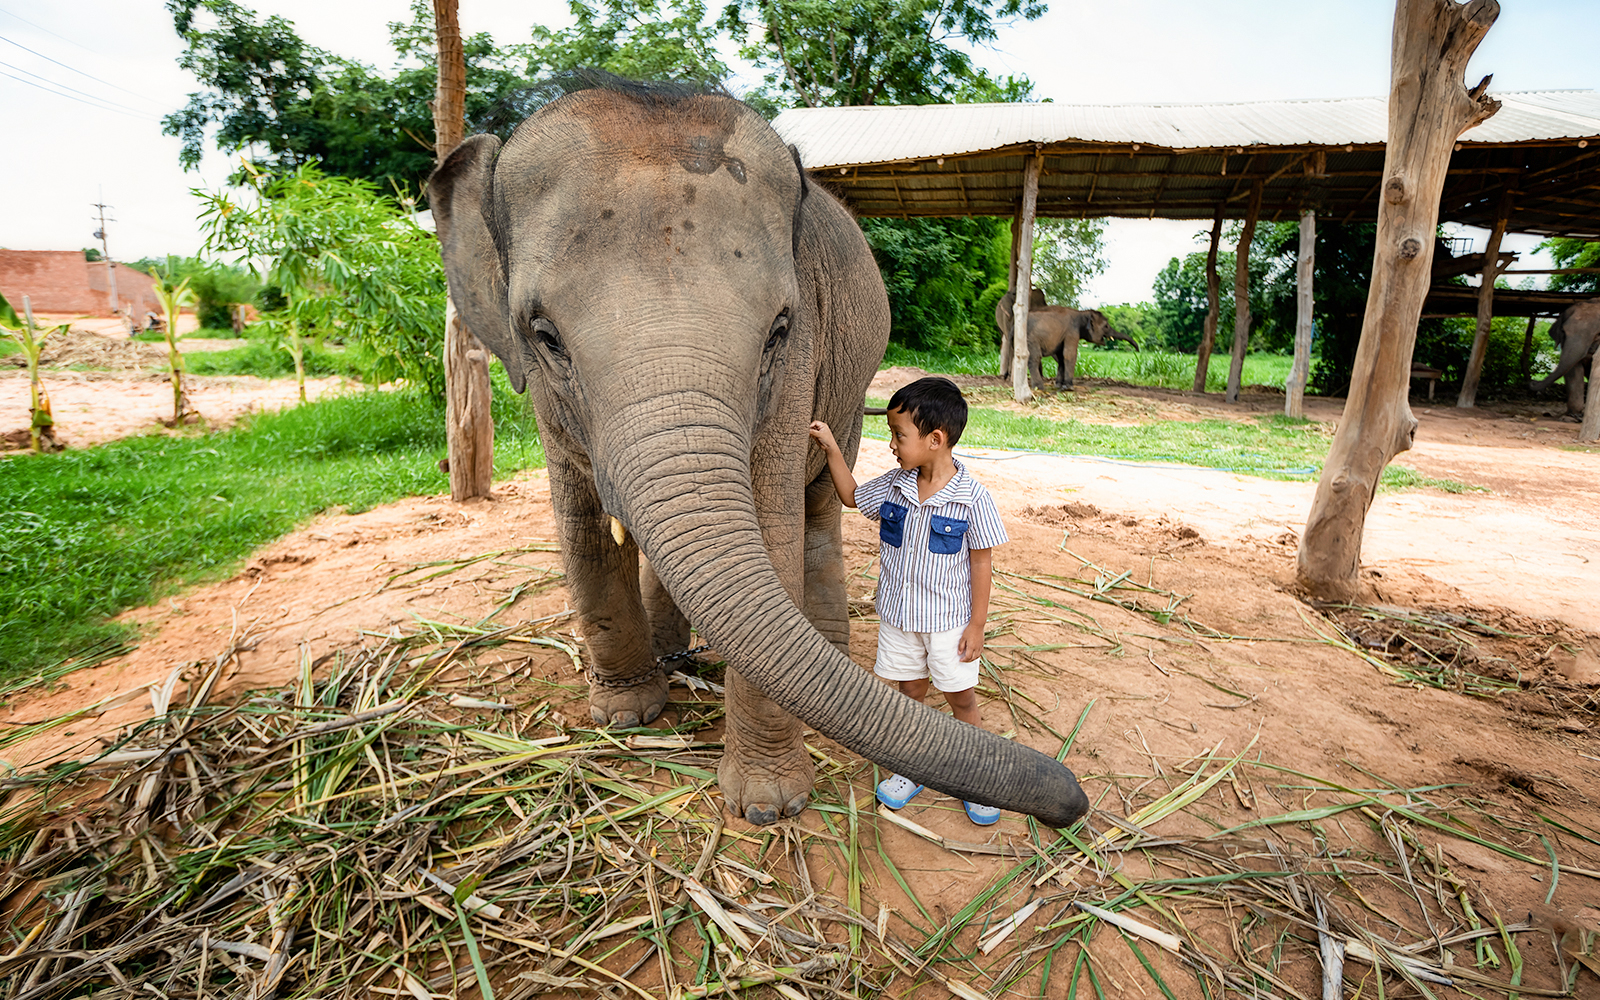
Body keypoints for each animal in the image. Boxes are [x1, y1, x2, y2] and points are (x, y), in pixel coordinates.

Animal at [429, 81, 1088, 830]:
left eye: (778, 329)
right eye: (543, 335)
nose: (1073, 799)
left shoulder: (800, 365)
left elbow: (771, 529)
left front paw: (769, 806)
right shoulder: (544, 399)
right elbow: (584, 528)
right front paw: (626, 715)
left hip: (851, 382)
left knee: (818, 508)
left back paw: (828, 644)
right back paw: (672, 653)